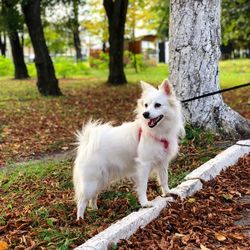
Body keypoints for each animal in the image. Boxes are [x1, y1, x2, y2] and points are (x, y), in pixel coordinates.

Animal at [72, 79, 184, 220]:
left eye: (157, 105)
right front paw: (145, 203)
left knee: (93, 196)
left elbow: (164, 180)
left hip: (100, 180)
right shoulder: (143, 165)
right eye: (146, 105)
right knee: (82, 201)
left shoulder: (163, 163)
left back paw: (95, 210)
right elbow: (143, 186)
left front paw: (168, 192)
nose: (145, 114)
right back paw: (80, 220)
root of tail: (86, 142)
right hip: (91, 182)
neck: (157, 131)